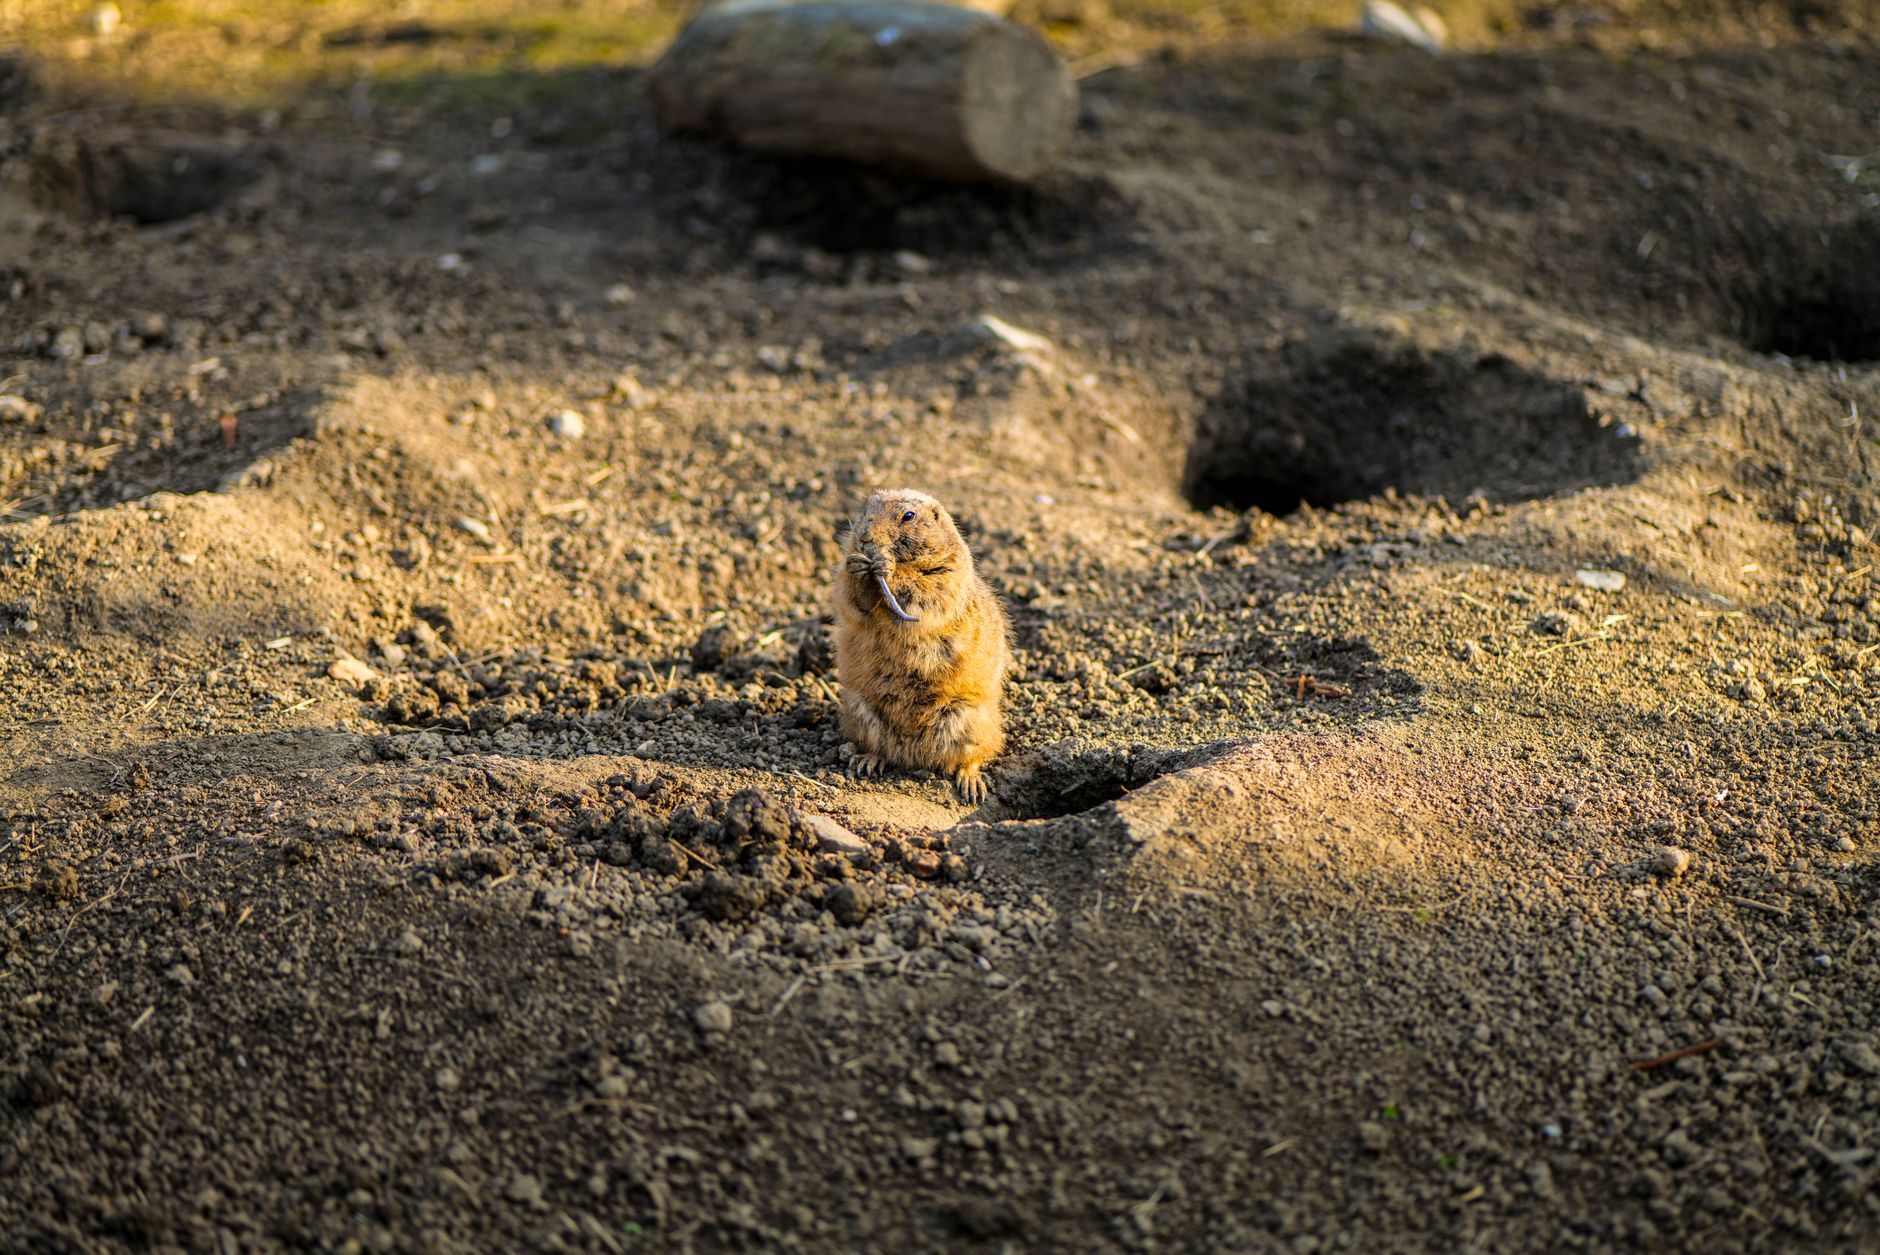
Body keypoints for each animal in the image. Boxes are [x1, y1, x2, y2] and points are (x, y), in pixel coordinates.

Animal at [831, 489, 1010, 803]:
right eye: (866, 508)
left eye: (908, 515)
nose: (864, 536)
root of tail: (913, 755)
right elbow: (854, 601)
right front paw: (856, 566)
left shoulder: (949, 572)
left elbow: (925, 591)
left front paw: (887, 568)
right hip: (859, 709)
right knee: (880, 749)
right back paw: (866, 762)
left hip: (971, 721)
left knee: (974, 756)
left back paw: (972, 786)